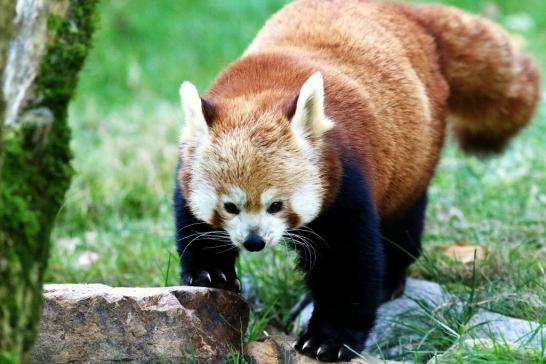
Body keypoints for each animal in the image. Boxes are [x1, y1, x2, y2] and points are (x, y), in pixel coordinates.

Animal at [172, 0, 536, 358]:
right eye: (230, 207)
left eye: (276, 205)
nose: (254, 242)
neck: (260, 90)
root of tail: (407, 12)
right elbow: (193, 224)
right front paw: (210, 272)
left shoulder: (345, 180)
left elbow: (348, 265)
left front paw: (328, 339)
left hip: (415, 155)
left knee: (401, 225)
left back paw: (391, 278)